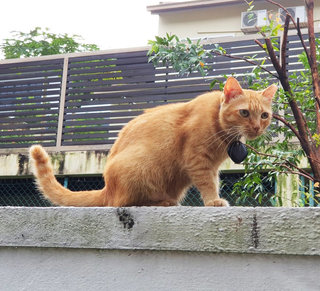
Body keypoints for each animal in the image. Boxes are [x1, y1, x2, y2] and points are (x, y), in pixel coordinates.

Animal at [30, 77, 278, 208]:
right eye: (244, 113)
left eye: (264, 115)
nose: (257, 127)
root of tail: (108, 188)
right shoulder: (198, 160)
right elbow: (208, 184)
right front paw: (213, 202)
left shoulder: (211, 167)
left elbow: (214, 182)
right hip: (141, 169)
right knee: (125, 203)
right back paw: (163, 203)